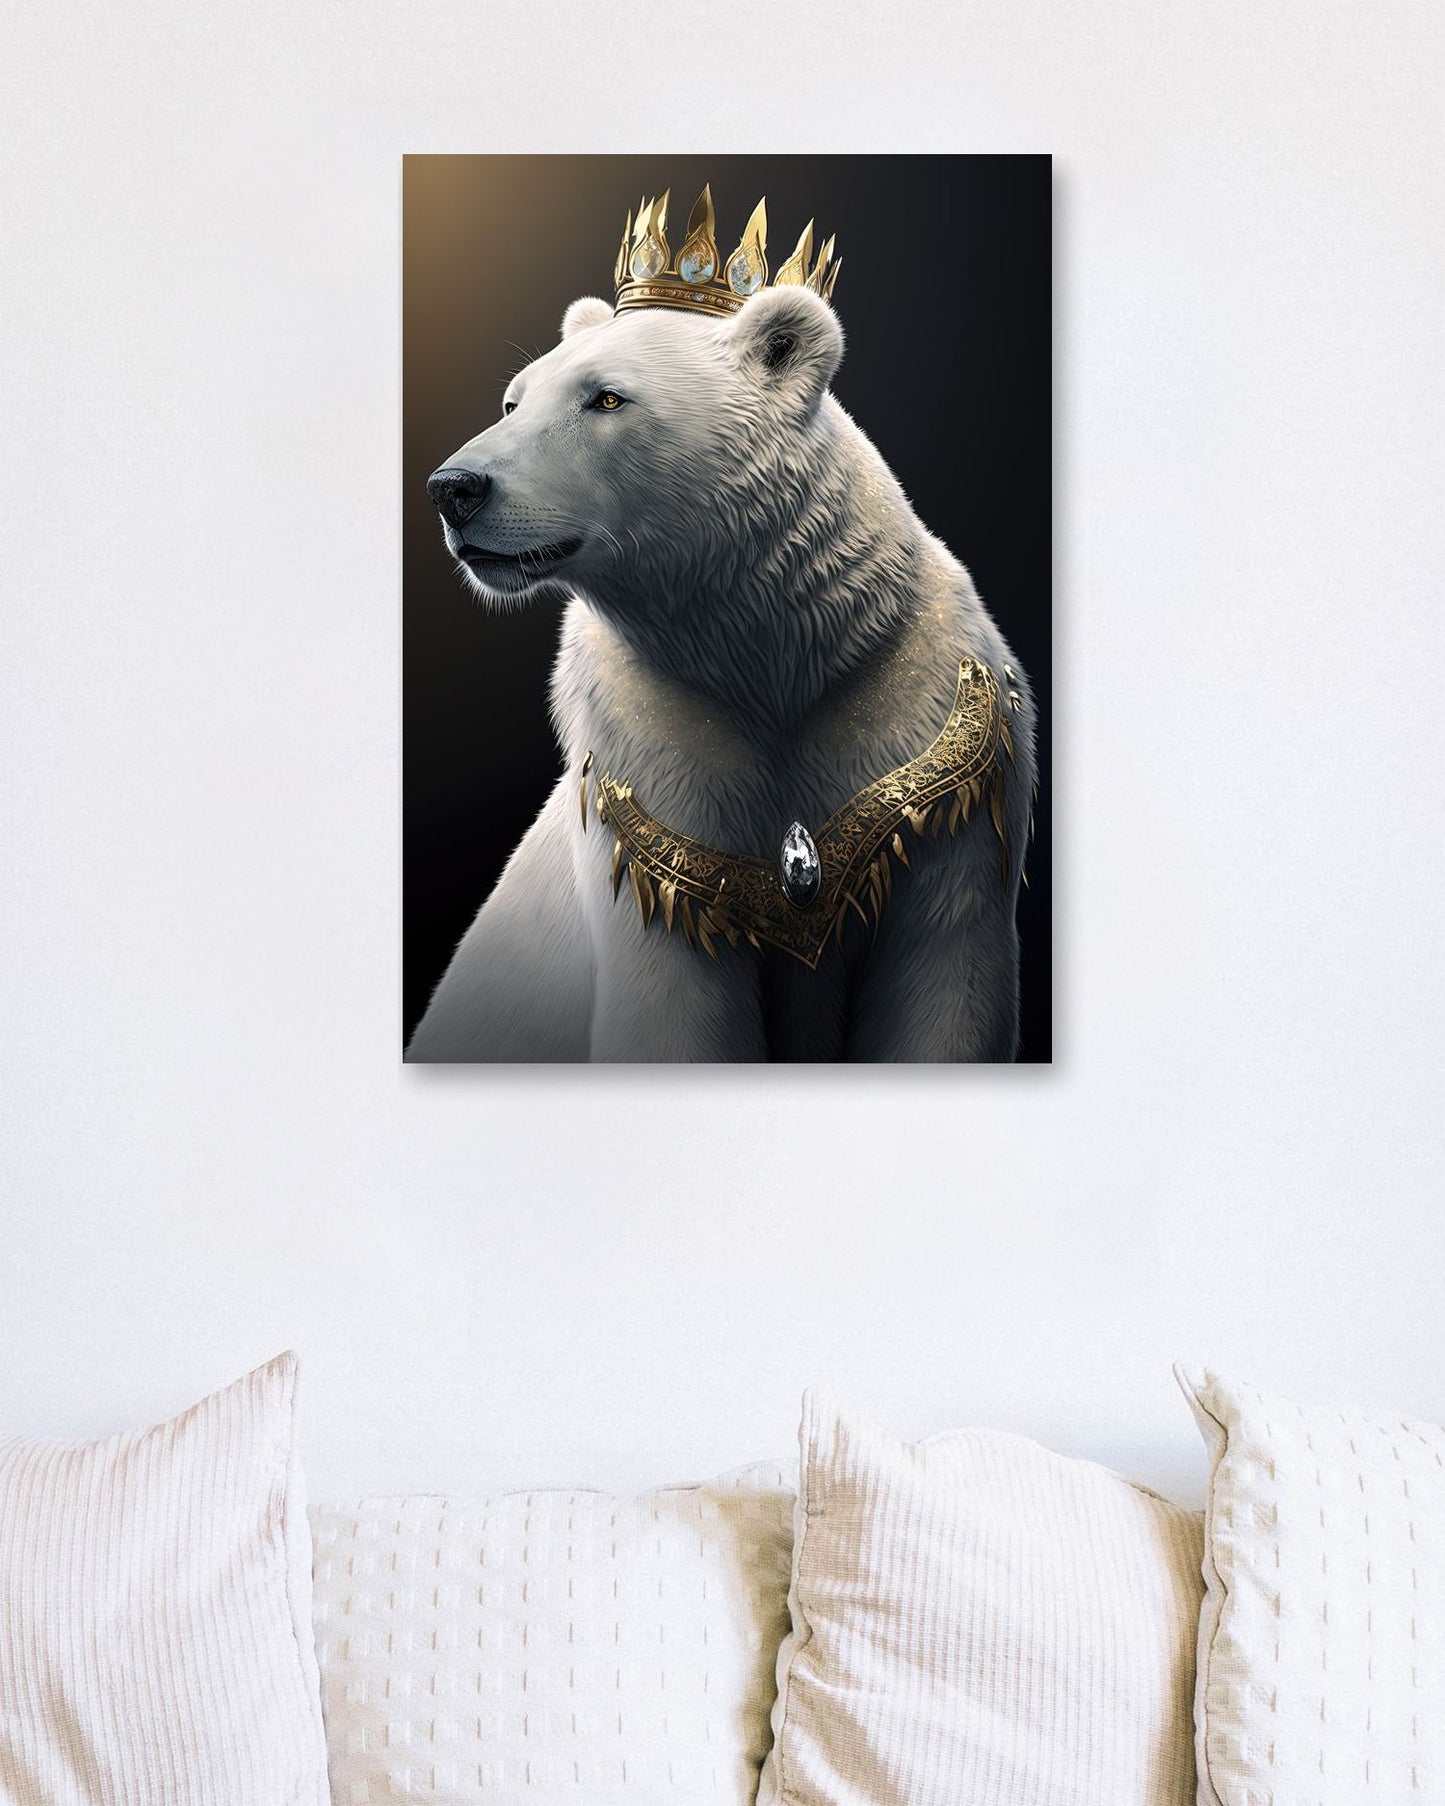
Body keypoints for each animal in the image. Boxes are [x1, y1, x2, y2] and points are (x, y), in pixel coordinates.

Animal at [407, 282, 1035, 1062]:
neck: (777, 657)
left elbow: (941, 976)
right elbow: (675, 1003)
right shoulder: (656, 762)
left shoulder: (930, 735)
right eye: (512, 401)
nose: (454, 488)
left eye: (606, 398)